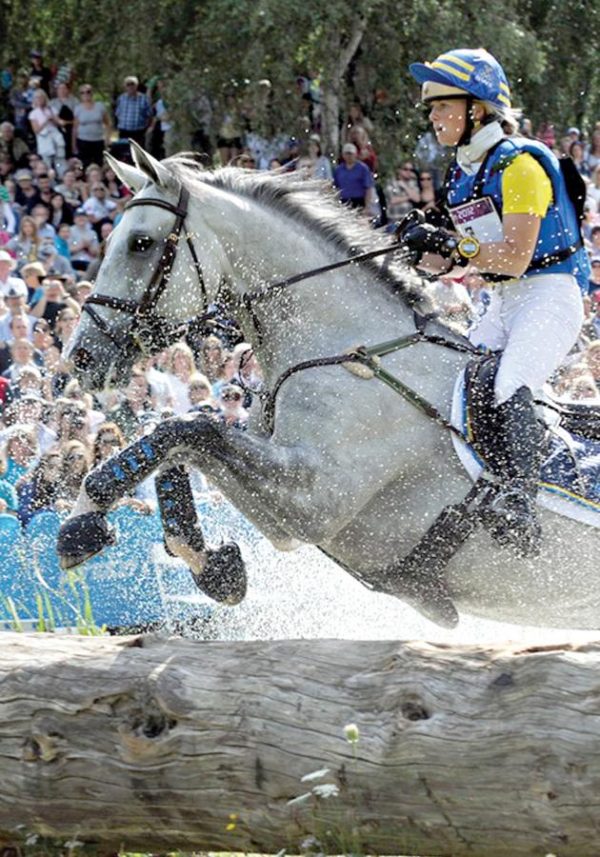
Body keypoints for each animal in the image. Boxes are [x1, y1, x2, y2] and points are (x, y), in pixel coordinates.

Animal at [58, 142, 596, 628]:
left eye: (140, 243)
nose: (80, 357)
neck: (345, 347)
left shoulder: (315, 498)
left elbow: (188, 430)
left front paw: (81, 522)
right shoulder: (292, 508)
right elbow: (180, 438)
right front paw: (213, 564)